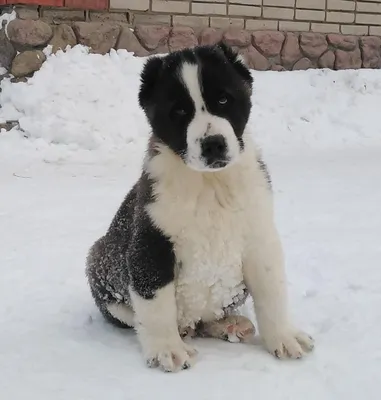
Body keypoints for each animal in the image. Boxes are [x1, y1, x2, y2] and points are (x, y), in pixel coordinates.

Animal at [86, 43, 314, 372]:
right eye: (179, 111)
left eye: (224, 99)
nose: (213, 144)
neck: (210, 182)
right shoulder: (151, 243)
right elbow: (155, 302)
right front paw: (167, 349)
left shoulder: (260, 237)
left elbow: (272, 291)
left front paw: (283, 336)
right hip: (99, 255)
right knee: (130, 312)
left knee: (207, 321)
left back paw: (229, 324)